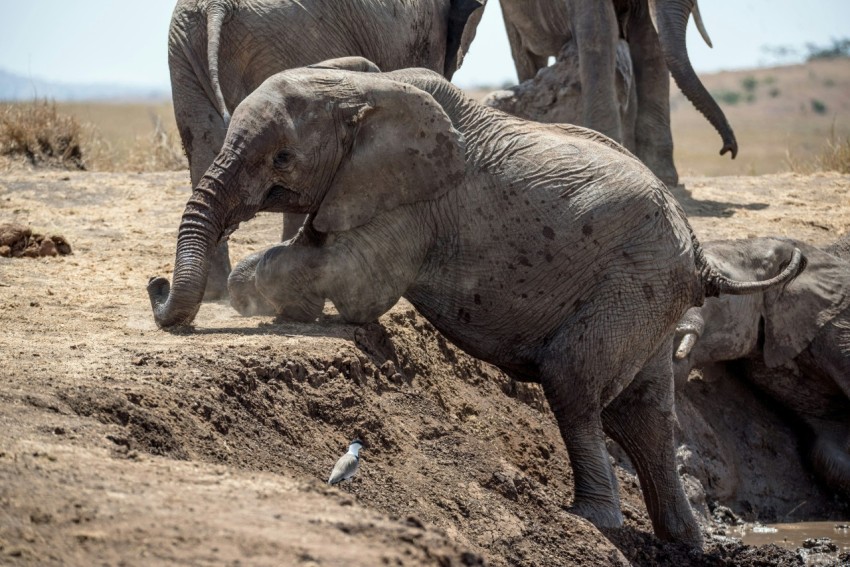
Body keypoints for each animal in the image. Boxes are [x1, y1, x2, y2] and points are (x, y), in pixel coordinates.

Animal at [147, 60, 805, 547]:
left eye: (282, 157)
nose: (156, 289)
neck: (367, 90)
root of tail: (697, 252)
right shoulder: (358, 185)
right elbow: (316, 253)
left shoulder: (418, 202)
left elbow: (353, 279)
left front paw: (251, 294)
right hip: (647, 298)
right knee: (643, 413)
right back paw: (682, 544)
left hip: (630, 283)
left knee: (574, 385)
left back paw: (589, 520)